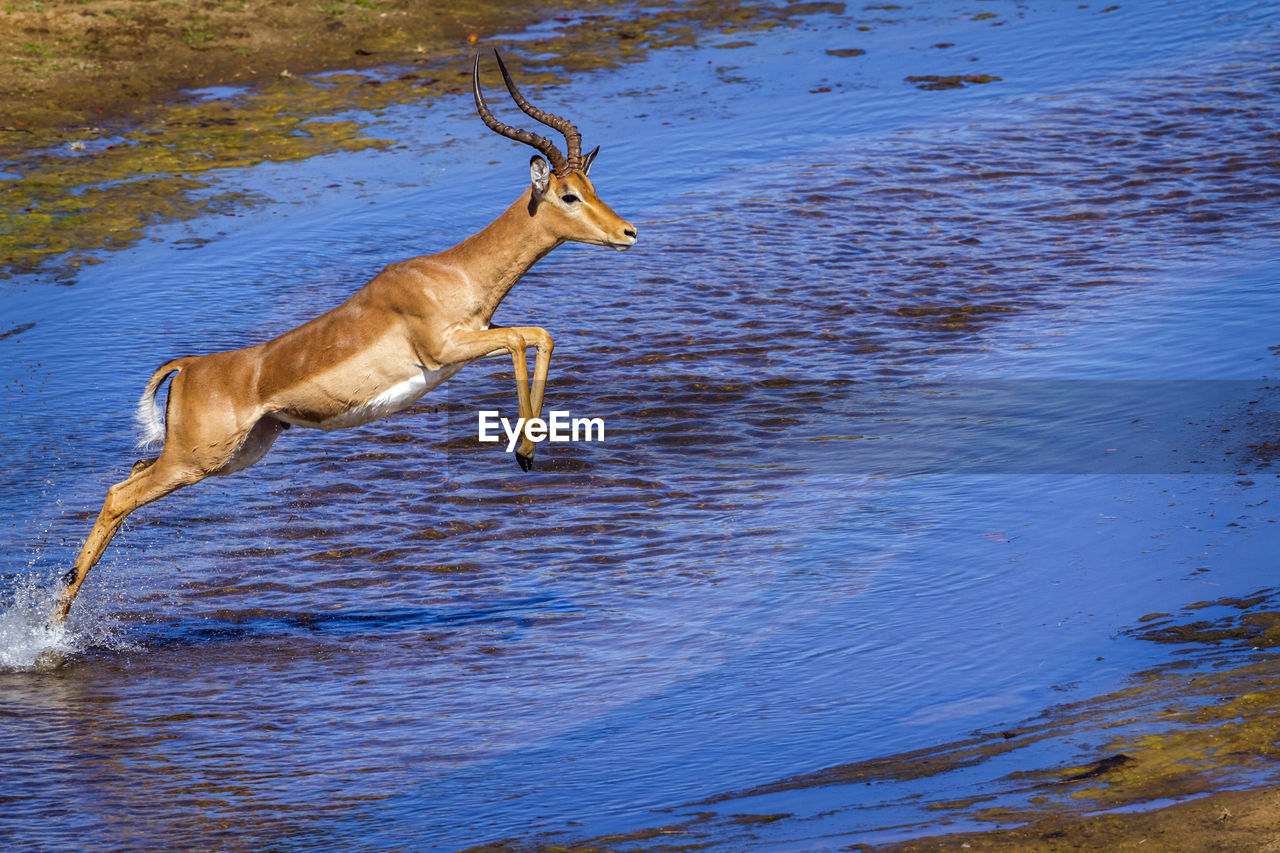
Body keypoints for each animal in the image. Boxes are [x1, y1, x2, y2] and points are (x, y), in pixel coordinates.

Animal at [53, 54, 634, 625]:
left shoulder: (477, 337)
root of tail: (192, 365)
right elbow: (526, 337)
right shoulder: (447, 350)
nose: (627, 233)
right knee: (118, 494)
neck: (453, 272)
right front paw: (526, 452)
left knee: (129, 477)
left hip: (236, 453)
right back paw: (55, 620)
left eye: (593, 187)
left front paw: (530, 450)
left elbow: (540, 335)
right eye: (568, 195)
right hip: (195, 460)